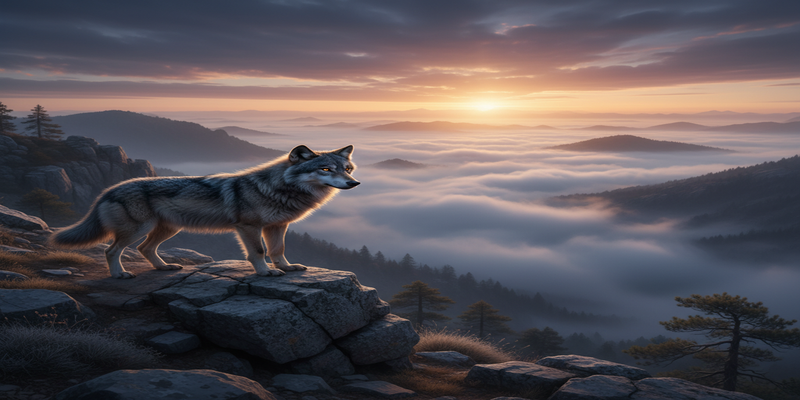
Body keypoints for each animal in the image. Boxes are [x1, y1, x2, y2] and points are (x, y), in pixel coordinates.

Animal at [50, 145, 359, 279]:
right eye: (325, 169)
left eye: (347, 169)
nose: (354, 183)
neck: (280, 188)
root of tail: (107, 190)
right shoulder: (248, 227)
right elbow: (259, 252)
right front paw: (266, 273)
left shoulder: (277, 227)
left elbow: (278, 250)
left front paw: (286, 268)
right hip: (139, 229)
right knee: (111, 250)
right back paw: (120, 274)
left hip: (167, 229)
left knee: (145, 249)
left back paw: (164, 267)